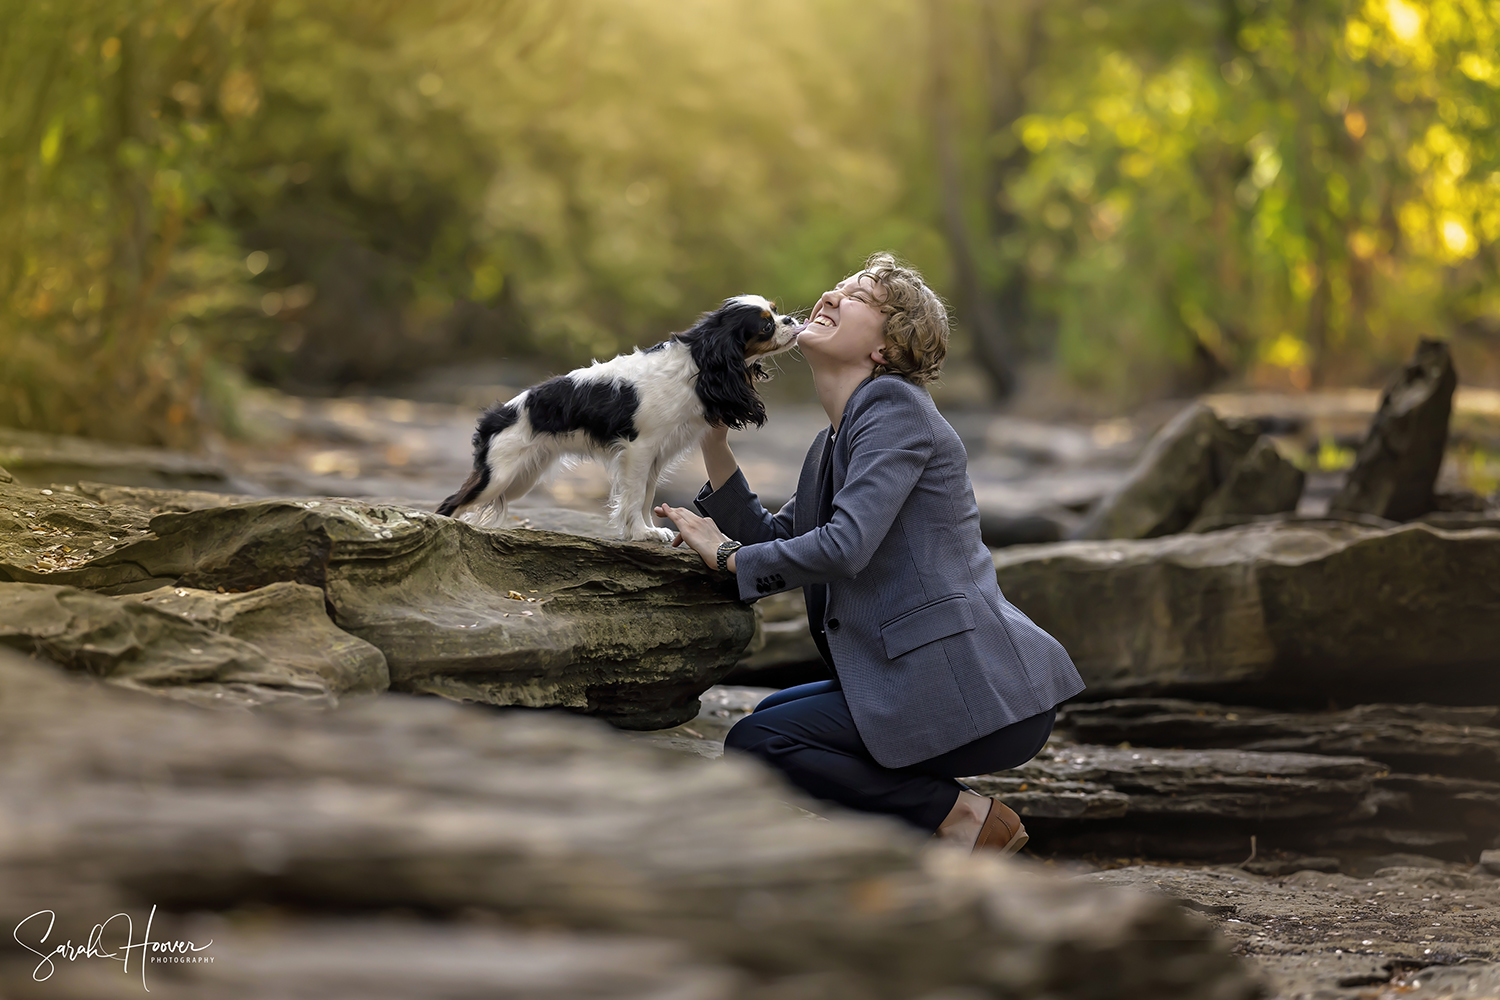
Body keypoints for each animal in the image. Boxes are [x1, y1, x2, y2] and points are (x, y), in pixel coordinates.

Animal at [438, 296, 804, 542]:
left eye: (775, 311)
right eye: (766, 325)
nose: (789, 319)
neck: (700, 363)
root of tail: (497, 414)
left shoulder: (654, 458)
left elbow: (645, 496)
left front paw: (649, 529)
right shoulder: (639, 450)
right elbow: (634, 495)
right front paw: (642, 533)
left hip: (521, 477)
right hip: (498, 475)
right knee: (450, 504)